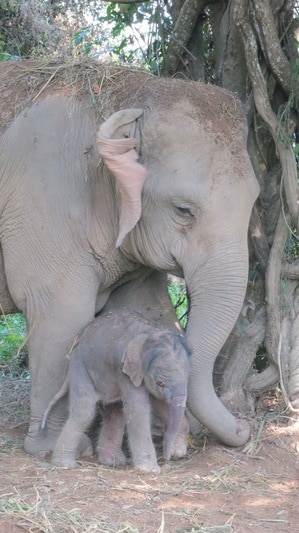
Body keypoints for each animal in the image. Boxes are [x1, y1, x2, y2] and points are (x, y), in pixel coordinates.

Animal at [0, 61, 258, 454]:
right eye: (183, 210)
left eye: (254, 202)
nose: (244, 429)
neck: (125, 94)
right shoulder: (39, 200)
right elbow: (62, 317)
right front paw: (53, 447)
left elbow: (148, 309)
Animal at [41, 310, 191, 472]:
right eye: (160, 382)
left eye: (188, 378)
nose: (167, 460)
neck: (150, 332)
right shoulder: (124, 369)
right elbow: (138, 408)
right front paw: (149, 469)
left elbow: (159, 402)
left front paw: (179, 450)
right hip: (79, 366)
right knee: (85, 411)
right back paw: (64, 464)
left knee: (114, 413)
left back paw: (112, 461)